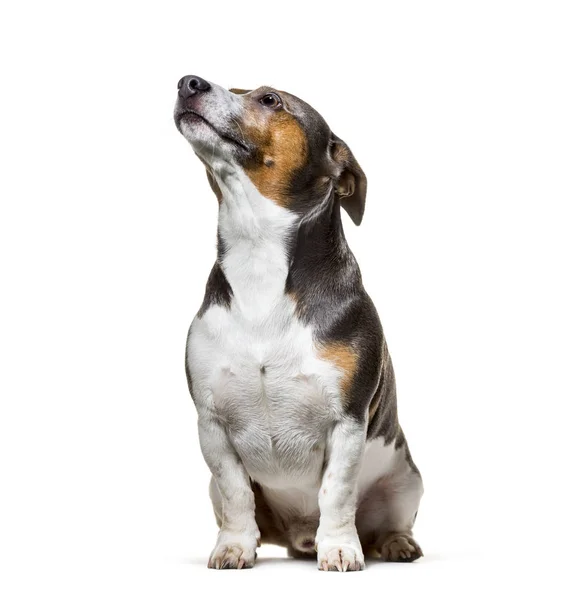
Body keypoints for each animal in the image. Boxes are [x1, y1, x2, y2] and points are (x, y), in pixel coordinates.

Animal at [175, 76, 424, 572]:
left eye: (270, 100)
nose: (188, 82)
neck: (258, 258)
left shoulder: (347, 421)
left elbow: (337, 493)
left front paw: (341, 548)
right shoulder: (211, 424)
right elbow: (235, 493)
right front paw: (234, 546)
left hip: (407, 481)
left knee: (390, 521)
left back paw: (392, 543)